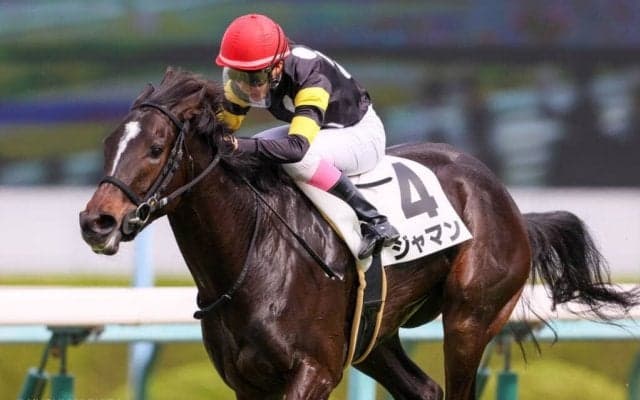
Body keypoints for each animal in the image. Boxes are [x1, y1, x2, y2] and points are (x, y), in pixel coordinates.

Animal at [79, 68, 637, 399]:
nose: (95, 222)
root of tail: (508, 203)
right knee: (424, 389)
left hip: (471, 317)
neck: (250, 257)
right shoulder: (247, 383)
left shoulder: (315, 371)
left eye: (155, 149)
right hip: (375, 335)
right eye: (108, 143)